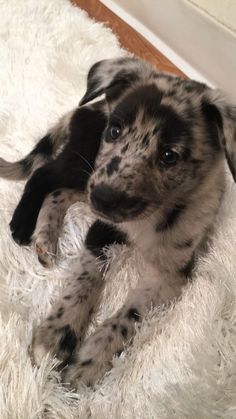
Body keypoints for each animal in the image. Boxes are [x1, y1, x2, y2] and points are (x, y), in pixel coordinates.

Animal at [0, 56, 235, 388]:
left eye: (169, 156)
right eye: (114, 131)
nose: (103, 197)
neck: (151, 217)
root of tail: (89, 107)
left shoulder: (171, 272)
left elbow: (131, 314)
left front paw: (91, 359)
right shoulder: (101, 228)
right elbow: (85, 277)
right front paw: (58, 334)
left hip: (86, 178)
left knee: (58, 192)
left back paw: (45, 238)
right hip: (83, 163)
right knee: (43, 176)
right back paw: (22, 225)